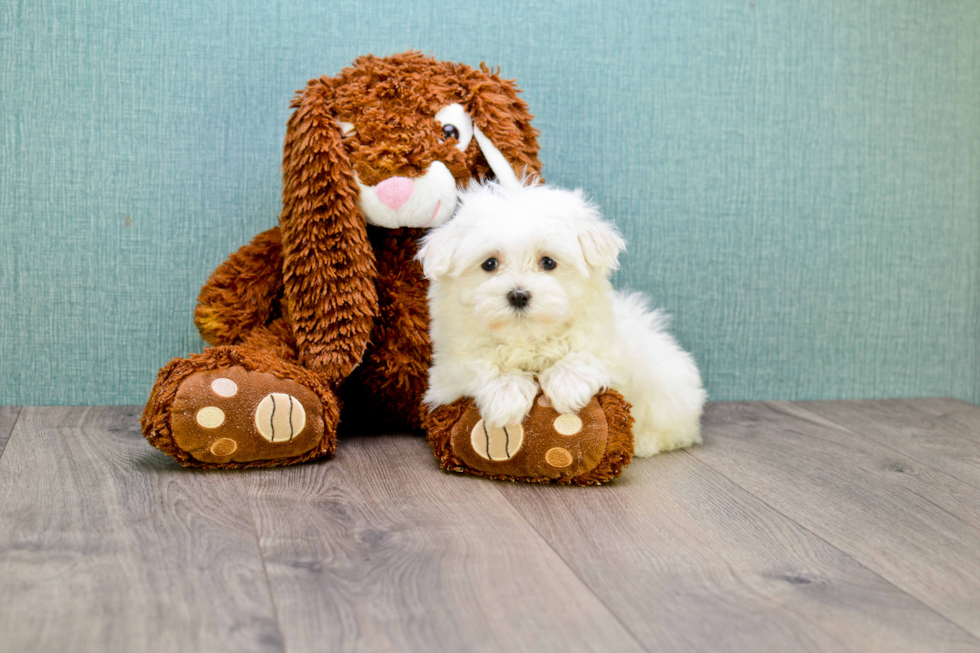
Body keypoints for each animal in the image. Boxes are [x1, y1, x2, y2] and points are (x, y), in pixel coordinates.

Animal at [418, 176, 708, 456]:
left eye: (548, 262)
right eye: (489, 264)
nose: (518, 295)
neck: (528, 340)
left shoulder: (615, 349)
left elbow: (594, 355)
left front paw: (568, 383)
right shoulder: (446, 370)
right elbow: (477, 363)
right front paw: (506, 393)